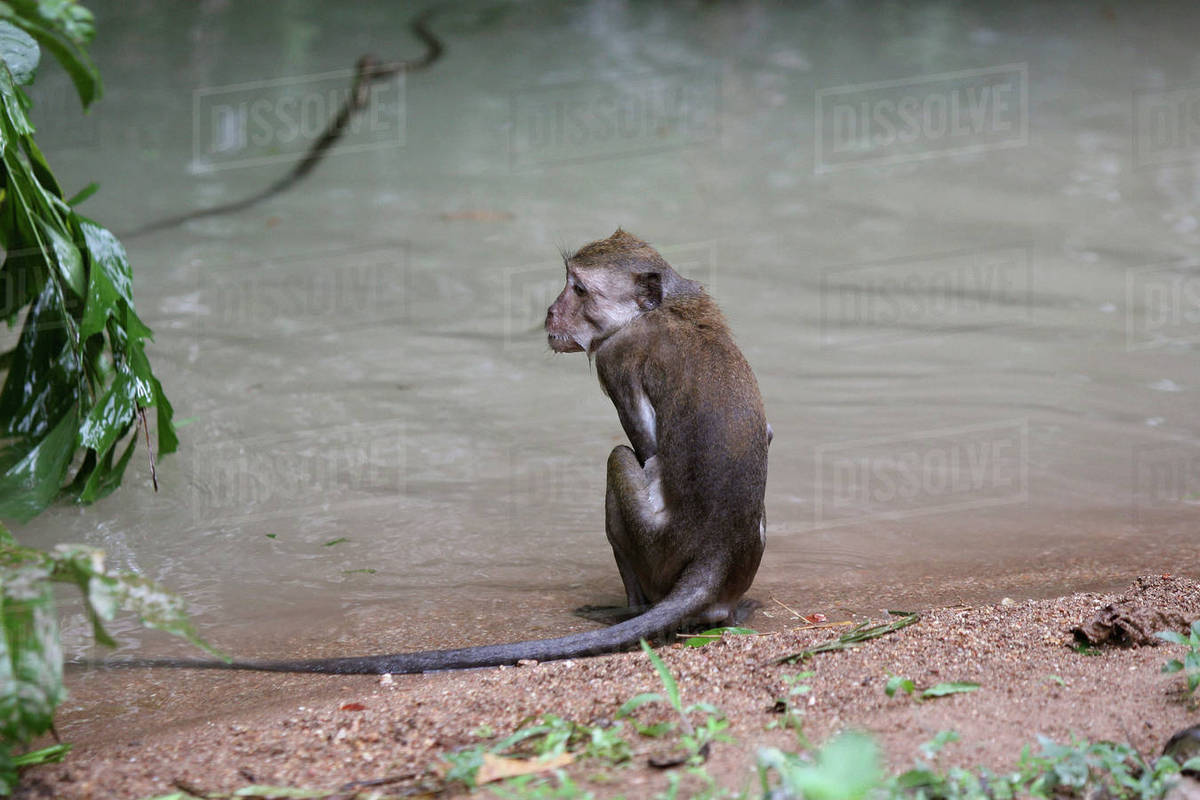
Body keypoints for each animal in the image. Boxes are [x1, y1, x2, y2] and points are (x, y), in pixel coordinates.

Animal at [128, 230, 769, 674]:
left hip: (658, 549)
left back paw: (630, 612)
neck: (660, 308)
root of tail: (714, 557)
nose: (549, 311)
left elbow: (643, 446)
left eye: (580, 289)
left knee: (616, 457)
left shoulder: (615, 358)